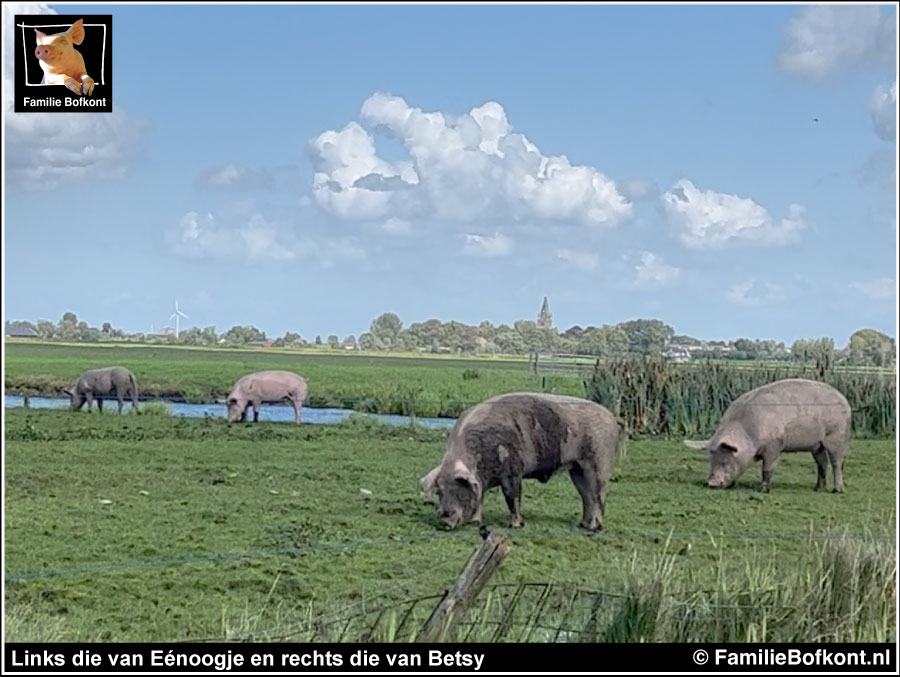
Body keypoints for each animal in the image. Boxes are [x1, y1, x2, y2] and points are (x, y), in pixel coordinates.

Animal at [422, 394, 624, 532]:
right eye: (439, 492)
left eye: (458, 489)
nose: (444, 522)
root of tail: (612, 418)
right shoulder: (482, 481)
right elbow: (481, 497)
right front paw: (476, 522)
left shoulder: (513, 471)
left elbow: (512, 497)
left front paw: (516, 525)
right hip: (576, 469)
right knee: (586, 496)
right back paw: (582, 524)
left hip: (599, 462)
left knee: (599, 494)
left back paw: (594, 527)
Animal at [688, 374, 852, 492]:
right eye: (711, 460)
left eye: (726, 461)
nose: (711, 483)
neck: (747, 431)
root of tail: (845, 401)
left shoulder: (774, 445)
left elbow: (767, 468)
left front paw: (763, 490)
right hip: (816, 444)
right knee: (822, 462)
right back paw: (817, 489)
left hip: (836, 435)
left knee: (837, 462)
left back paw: (837, 490)